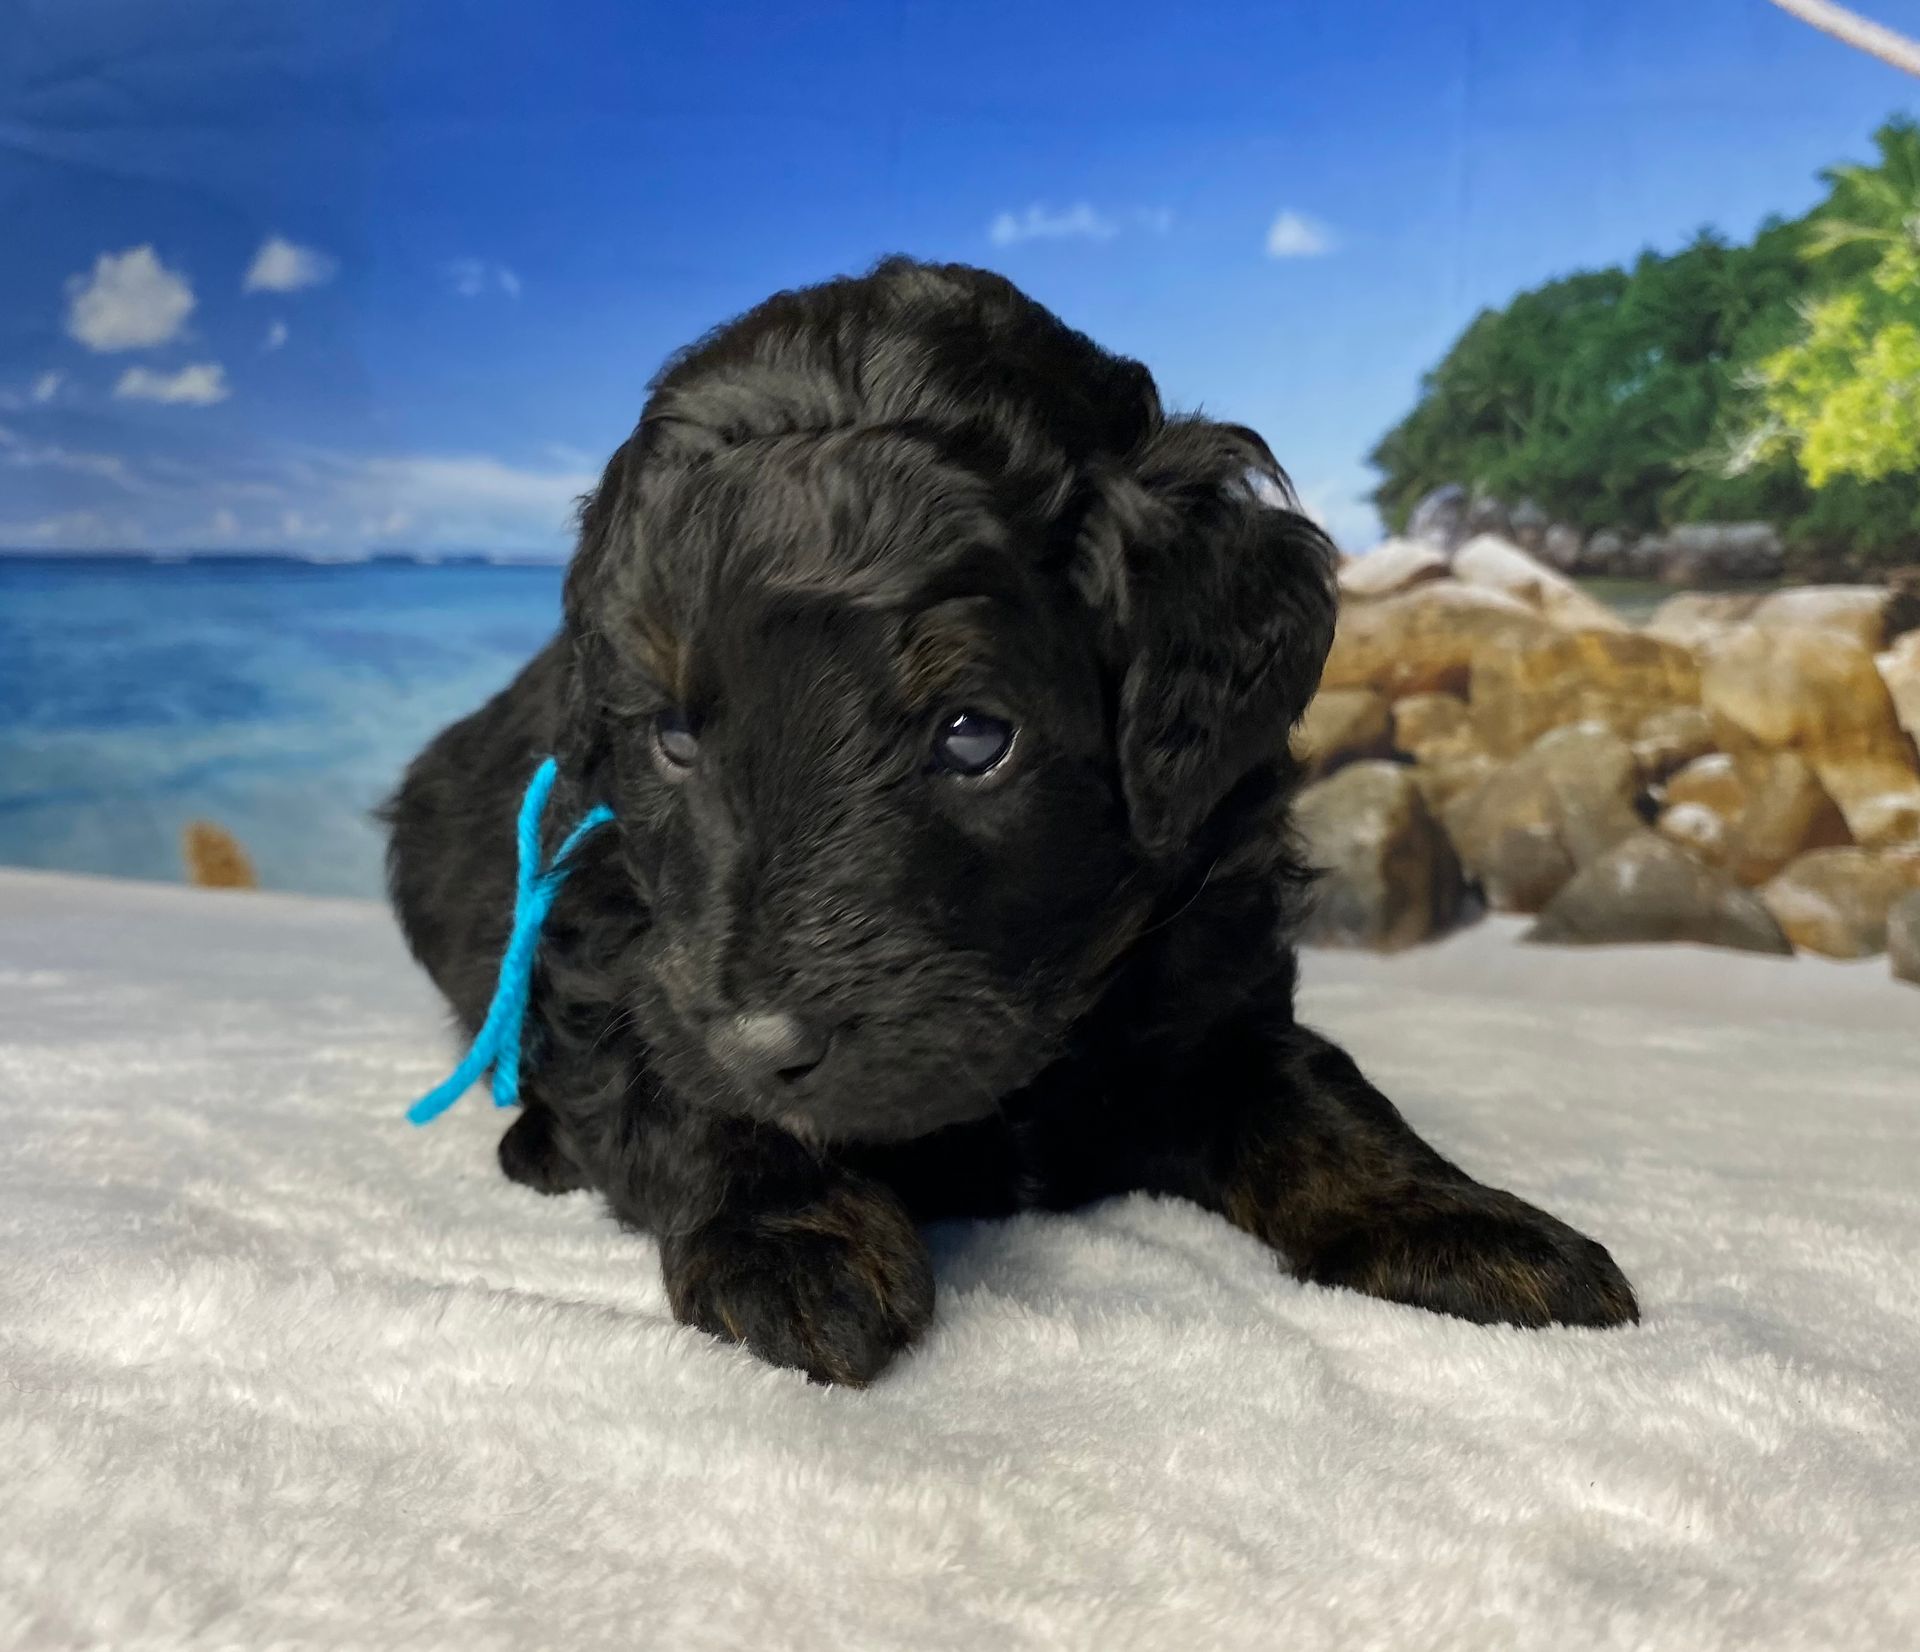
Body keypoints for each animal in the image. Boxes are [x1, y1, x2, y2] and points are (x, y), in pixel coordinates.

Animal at [385, 257, 1635, 1390]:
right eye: (674, 739)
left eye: (975, 735)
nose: (764, 1038)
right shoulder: (614, 934)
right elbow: (669, 1079)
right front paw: (791, 1233)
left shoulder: (1210, 987)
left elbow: (1325, 1098)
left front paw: (1456, 1220)